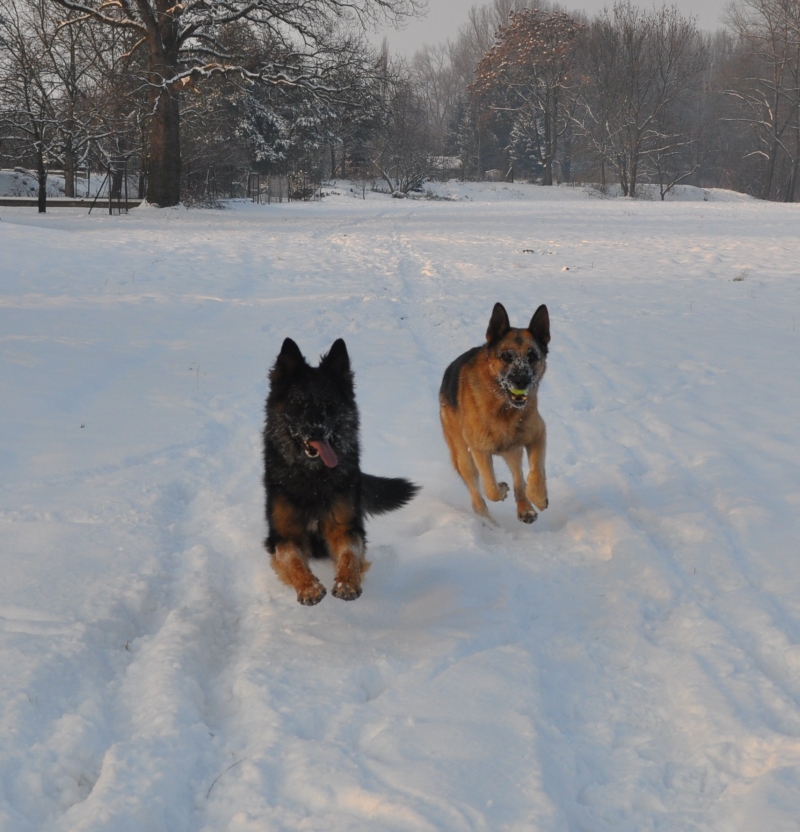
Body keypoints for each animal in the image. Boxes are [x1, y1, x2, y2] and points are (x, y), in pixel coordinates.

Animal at [268, 338, 422, 604]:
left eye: (328, 404)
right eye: (298, 403)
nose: (316, 430)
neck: (313, 477)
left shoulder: (346, 527)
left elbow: (350, 554)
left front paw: (347, 583)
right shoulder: (282, 535)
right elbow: (292, 559)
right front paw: (308, 587)